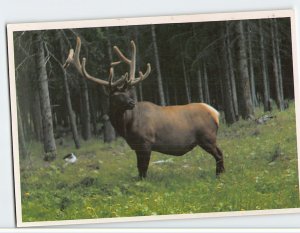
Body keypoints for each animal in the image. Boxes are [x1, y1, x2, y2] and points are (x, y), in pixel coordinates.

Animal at [63, 36, 225, 178]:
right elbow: (139, 168)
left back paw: (218, 176)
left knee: (219, 154)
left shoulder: (145, 142)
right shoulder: (137, 146)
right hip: (209, 138)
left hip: (207, 137)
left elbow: (143, 169)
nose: (131, 102)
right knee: (220, 152)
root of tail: (215, 113)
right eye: (115, 96)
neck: (126, 127)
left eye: (128, 92)